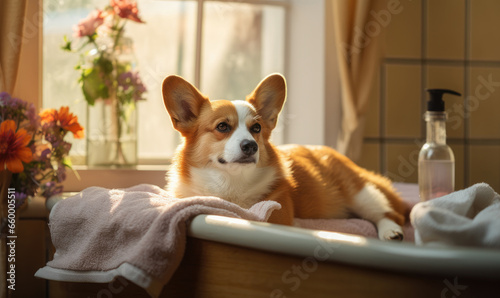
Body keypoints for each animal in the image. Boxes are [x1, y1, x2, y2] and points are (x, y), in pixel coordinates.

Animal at [162, 74, 408, 240]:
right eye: (222, 126)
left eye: (256, 128)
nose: (251, 146)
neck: (231, 184)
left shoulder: (277, 210)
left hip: (360, 193)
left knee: (389, 213)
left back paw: (391, 232)